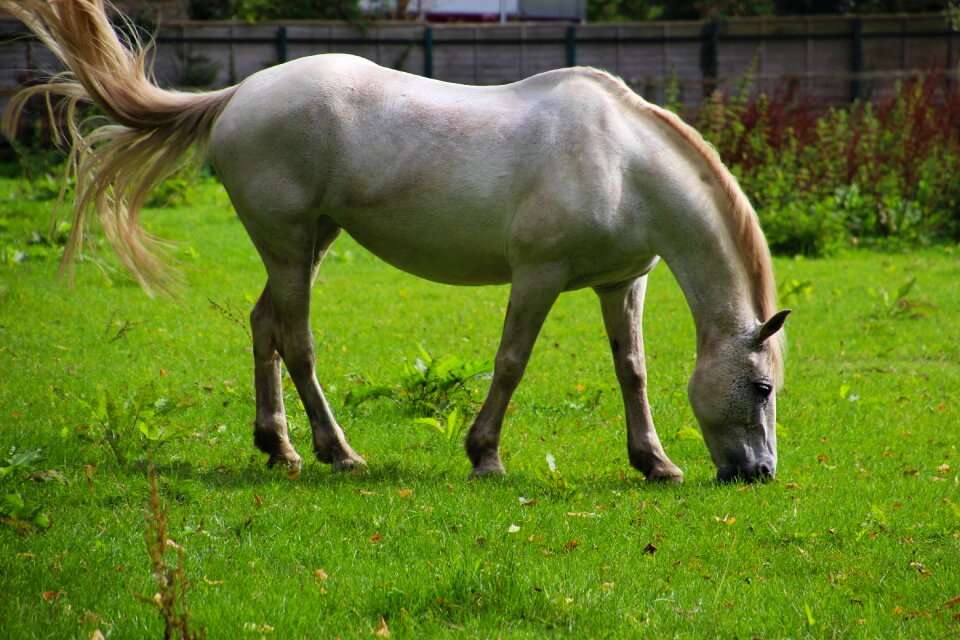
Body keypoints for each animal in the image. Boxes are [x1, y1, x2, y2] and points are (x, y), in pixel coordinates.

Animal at [5, 0, 788, 480]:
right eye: (761, 385)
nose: (758, 474)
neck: (622, 162)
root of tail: (239, 95)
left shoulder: (620, 283)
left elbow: (633, 370)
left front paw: (655, 462)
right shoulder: (538, 276)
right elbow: (511, 362)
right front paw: (485, 456)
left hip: (309, 243)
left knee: (264, 326)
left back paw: (279, 447)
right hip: (291, 246)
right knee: (295, 339)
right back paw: (337, 452)